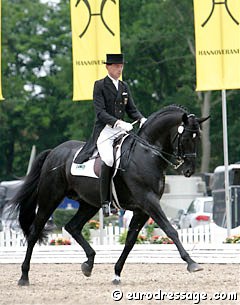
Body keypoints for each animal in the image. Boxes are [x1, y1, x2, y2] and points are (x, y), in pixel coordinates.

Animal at [11, 104, 208, 284]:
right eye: (186, 137)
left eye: (197, 138)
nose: (189, 170)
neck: (146, 153)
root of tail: (53, 151)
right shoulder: (149, 202)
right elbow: (170, 230)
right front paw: (192, 263)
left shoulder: (142, 210)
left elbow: (130, 240)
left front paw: (116, 273)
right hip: (50, 199)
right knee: (34, 232)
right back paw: (24, 276)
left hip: (89, 204)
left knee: (72, 227)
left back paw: (88, 264)